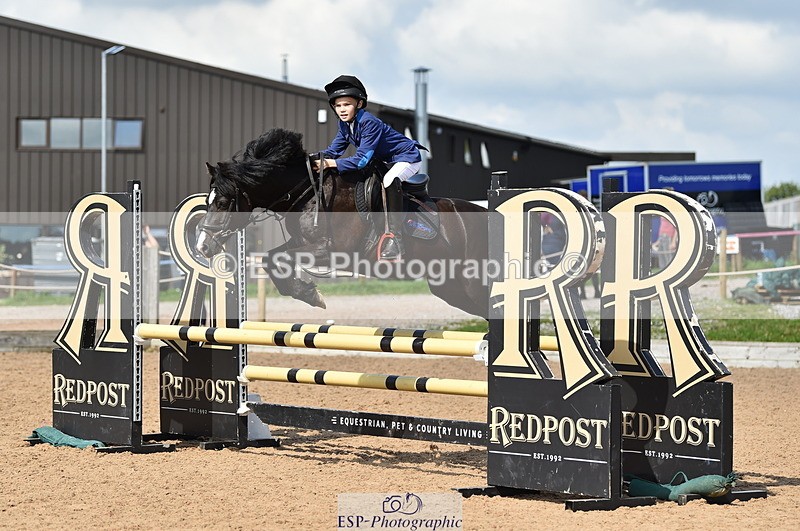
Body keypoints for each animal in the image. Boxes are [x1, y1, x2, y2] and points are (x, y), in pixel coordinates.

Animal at [195, 128, 489, 318]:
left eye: (223, 203)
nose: (203, 247)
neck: (310, 192)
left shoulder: (331, 251)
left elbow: (280, 258)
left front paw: (312, 295)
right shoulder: (302, 242)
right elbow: (271, 258)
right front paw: (308, 294)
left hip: (472, 284)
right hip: (450, 288)